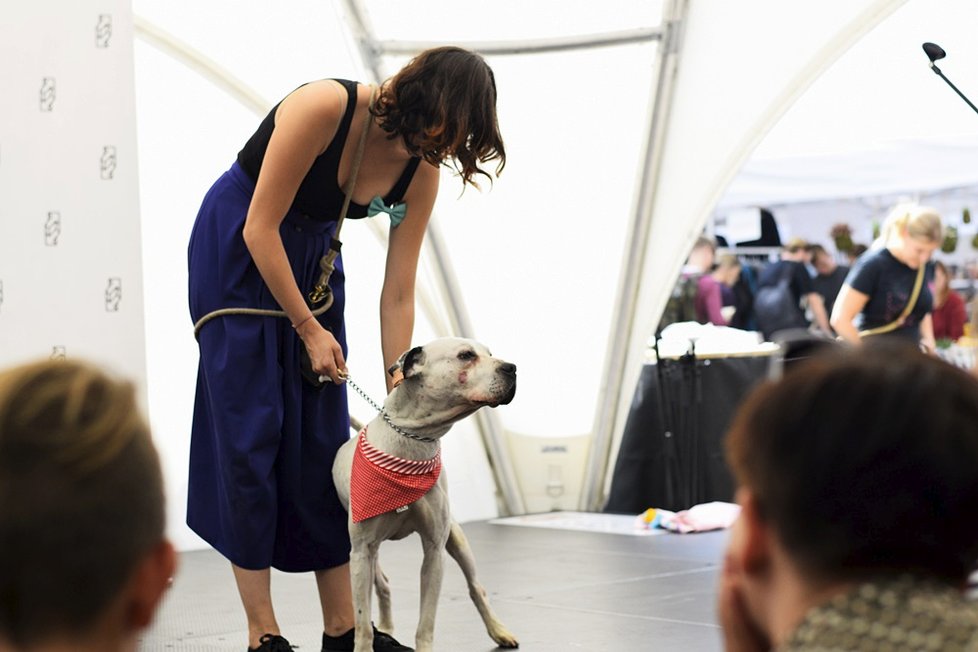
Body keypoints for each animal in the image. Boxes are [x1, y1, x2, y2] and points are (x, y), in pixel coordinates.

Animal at [332, 338, 520, 652]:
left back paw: (498, 630)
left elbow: (426, 622)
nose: (512, 367)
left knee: (476, 587)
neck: (410, 441)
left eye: (490, 354)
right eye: (466, 355)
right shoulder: (360, 552)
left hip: (457, 540)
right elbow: (362, 624)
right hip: (367, 554)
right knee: (380, 584)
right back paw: (386, 626)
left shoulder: (435, 551)